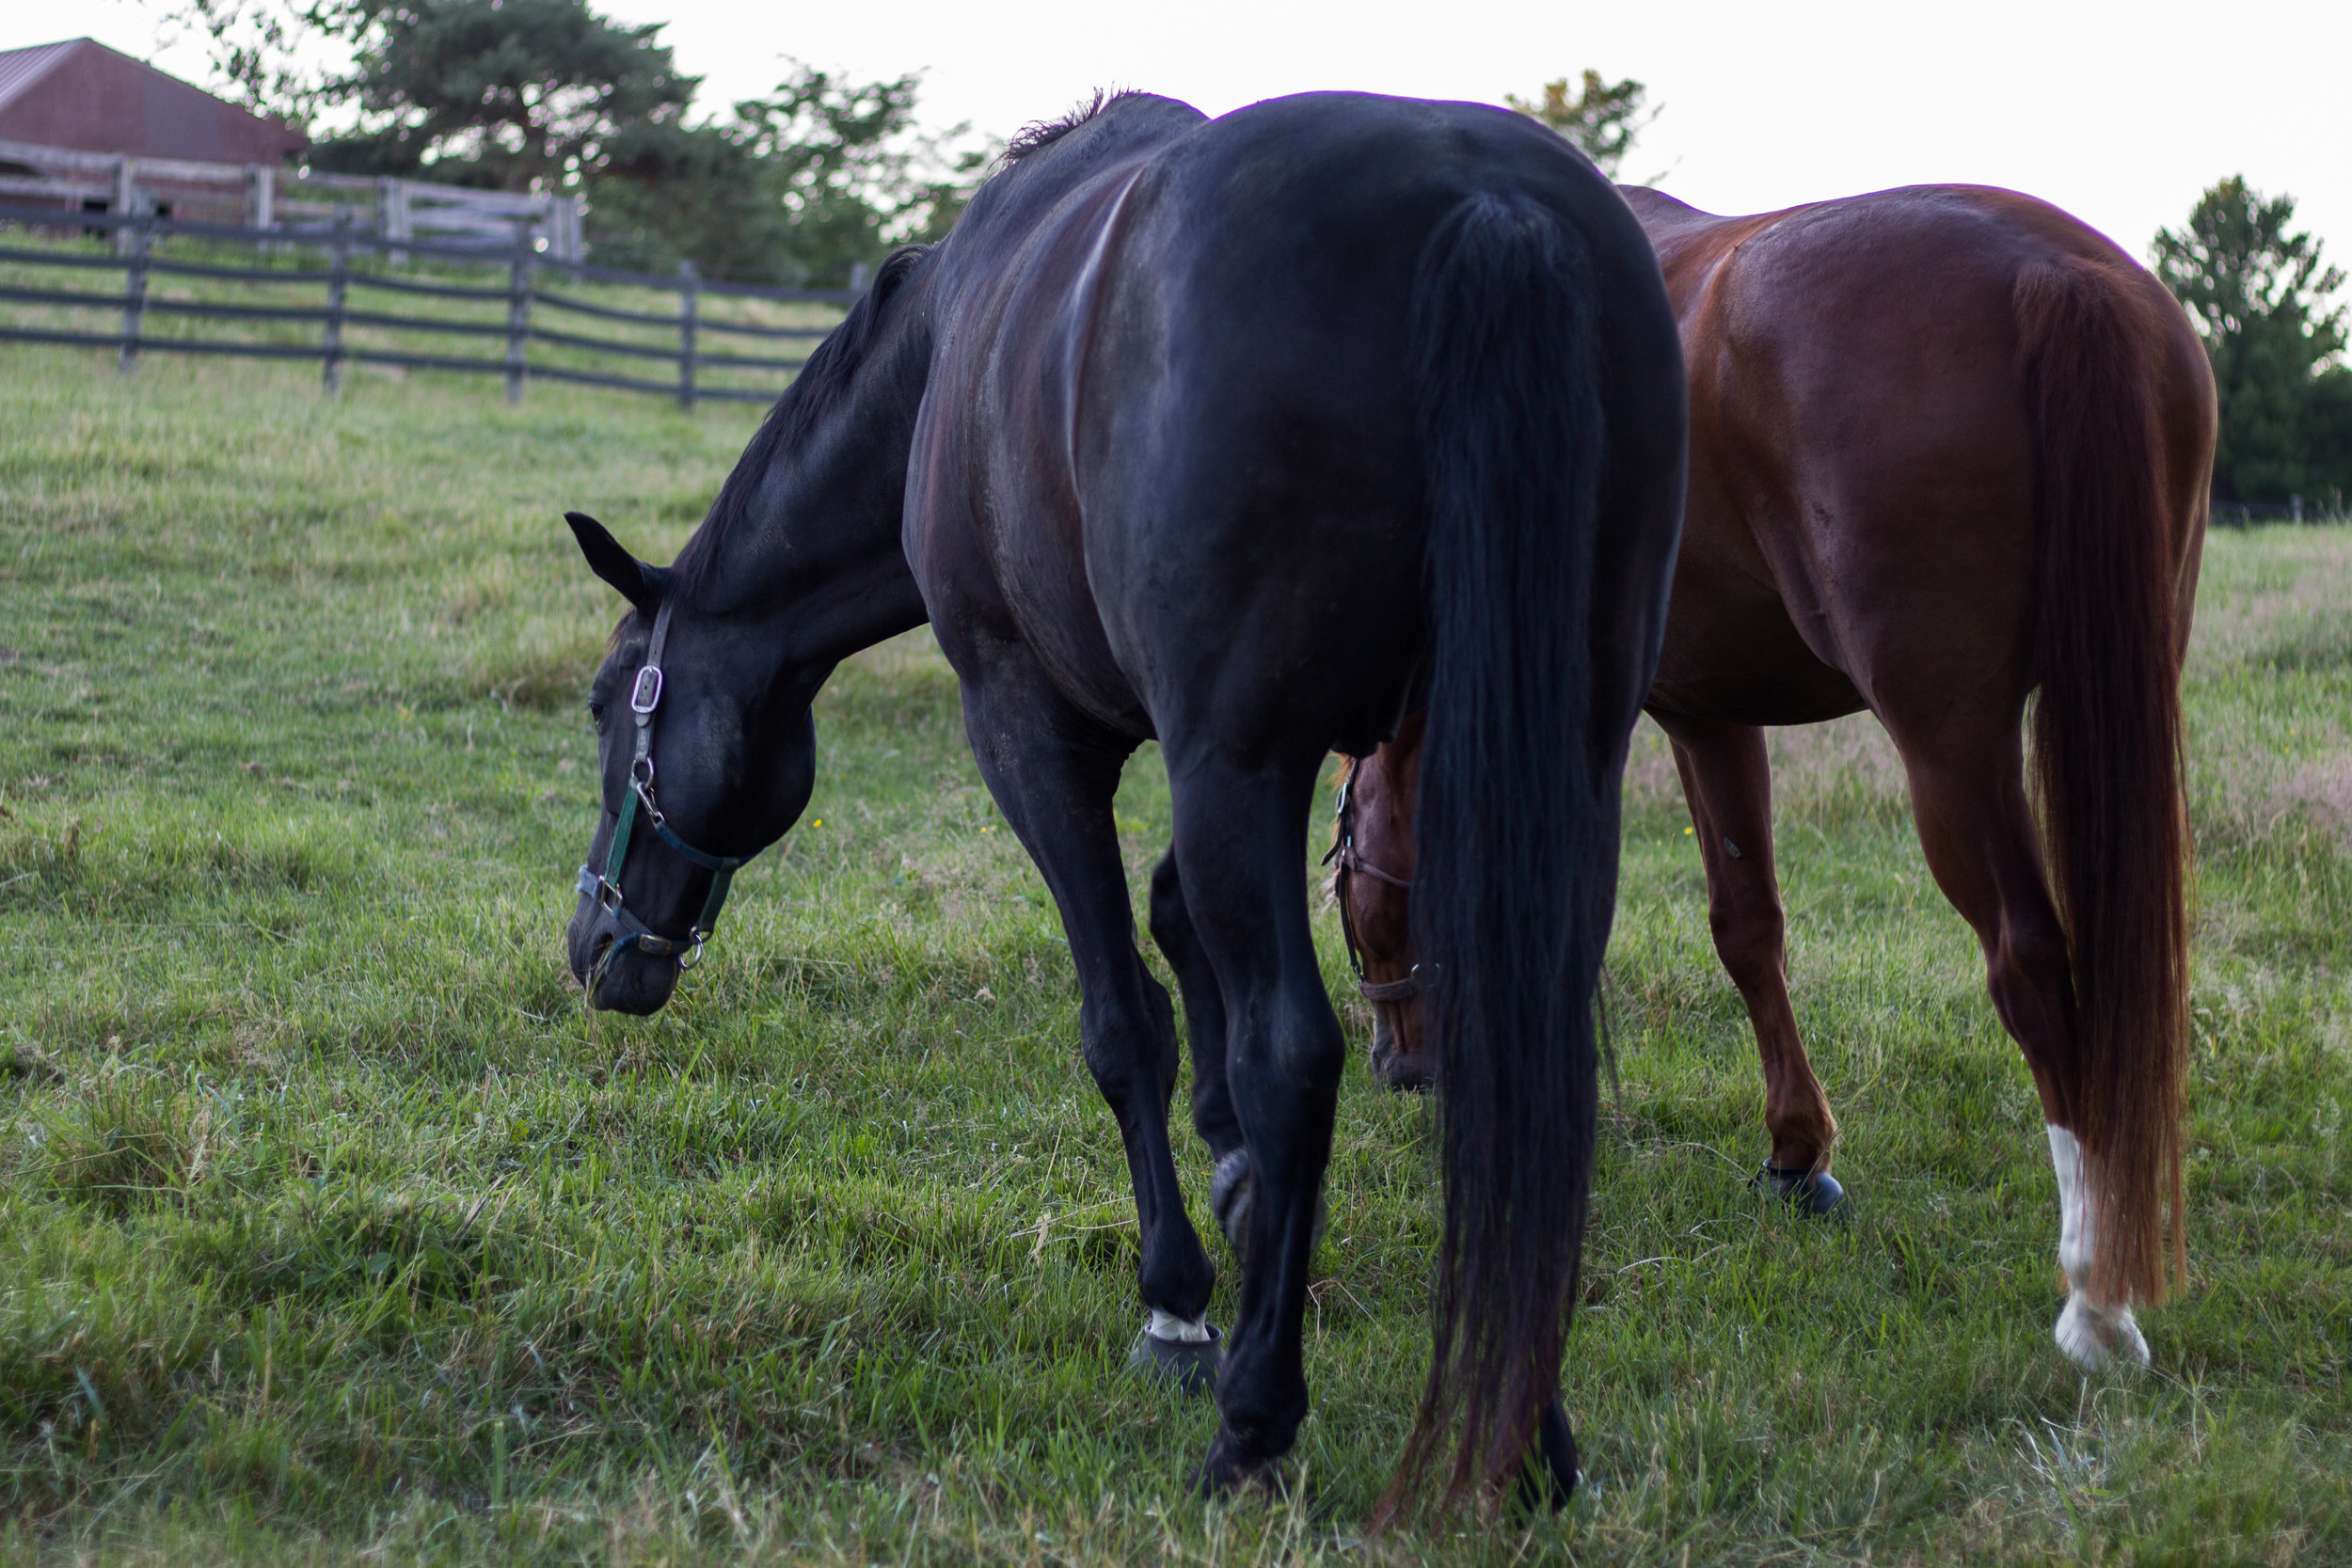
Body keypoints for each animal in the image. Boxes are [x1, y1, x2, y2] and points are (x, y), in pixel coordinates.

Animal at [560, 95, 1684, 1504]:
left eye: (608, 700)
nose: (594, 943)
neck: (944, 356)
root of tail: (1482, 202)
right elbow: (1177, 923)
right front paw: (1237, 1178)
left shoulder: (1042, 730)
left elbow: (1123, 1018)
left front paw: (1182, 1301)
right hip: (1558, 759)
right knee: (1522, 1051)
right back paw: (1524, 1422)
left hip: (1239, 760)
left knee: (1296, 1049)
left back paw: (1256, 1420)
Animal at [1336, 186, 2211, 1372]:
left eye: (1346, 881)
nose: (1396, 1064)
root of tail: (2042, 269)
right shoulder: (1717, 711)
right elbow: (1751, 925)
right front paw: (1798, 1154)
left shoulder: (1650, 720)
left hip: (1953, 750)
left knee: (2029, 961)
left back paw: (2096, 1301)